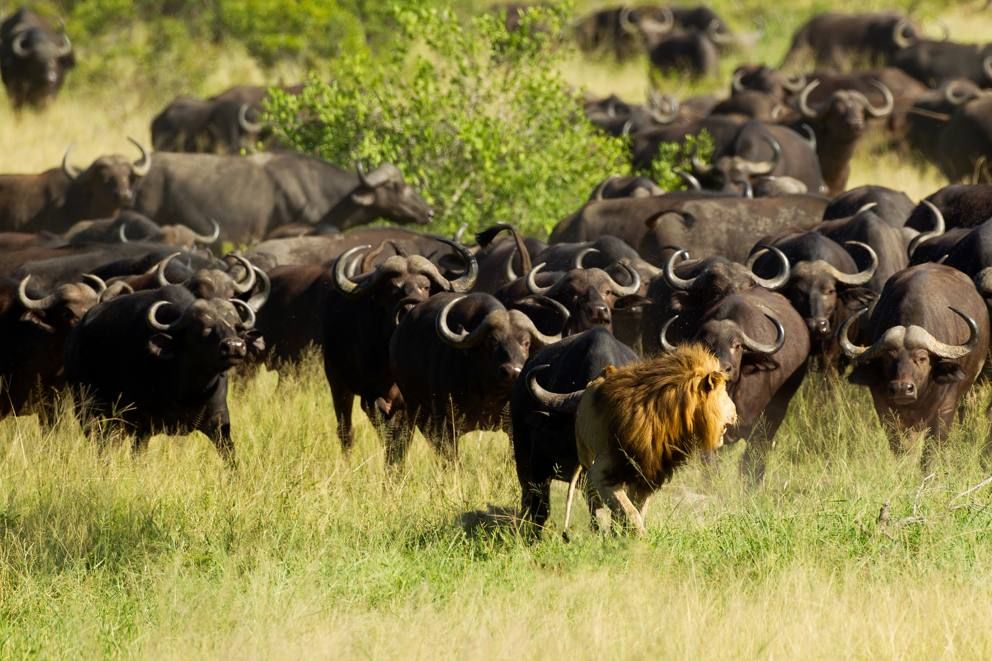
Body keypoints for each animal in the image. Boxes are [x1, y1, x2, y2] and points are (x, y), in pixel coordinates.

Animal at [560, 342, 740, 532]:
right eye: (724, 394)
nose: (736, 412)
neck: (669, 417)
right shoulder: (602, 471)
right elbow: (630, 512)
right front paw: (639, 536)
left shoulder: (647, 473)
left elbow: (636, 509)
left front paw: (627, 535)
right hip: (587, 456)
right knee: (592, 496)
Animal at [836, 262, 992, 464]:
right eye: (888, 357)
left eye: (922, 358)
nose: (902, 389)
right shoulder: (886, 411)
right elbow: (901, 449)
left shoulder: (945, 410)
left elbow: (931, 452)